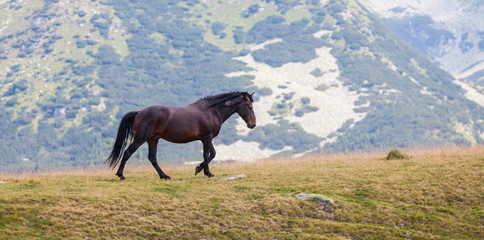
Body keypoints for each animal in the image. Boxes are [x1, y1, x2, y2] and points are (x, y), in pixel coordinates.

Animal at [106, 92, 258, 180]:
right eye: (250, 106)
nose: (253, 124)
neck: (211, 111)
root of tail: (139, 112)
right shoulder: (207, 137)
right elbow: (206, 155)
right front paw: (207, 173)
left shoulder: (206, 138)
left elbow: (212, 154)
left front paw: (199, 169)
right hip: (140, 139)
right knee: (127, 153)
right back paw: (121, 175)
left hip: (152, 140)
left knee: (152, 158)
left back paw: (165, 176)